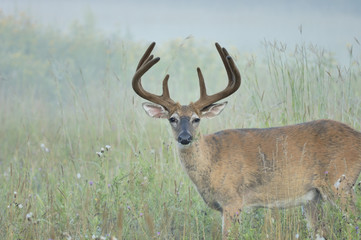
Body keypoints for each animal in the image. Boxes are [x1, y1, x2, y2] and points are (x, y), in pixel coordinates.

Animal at [131, 42, 360, 239]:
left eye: (197, 119)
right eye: (172, 119)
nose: (185, 137)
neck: (212, 161)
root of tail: (357, 135)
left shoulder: (232, 200)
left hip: (340, 183)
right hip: (314, 198)